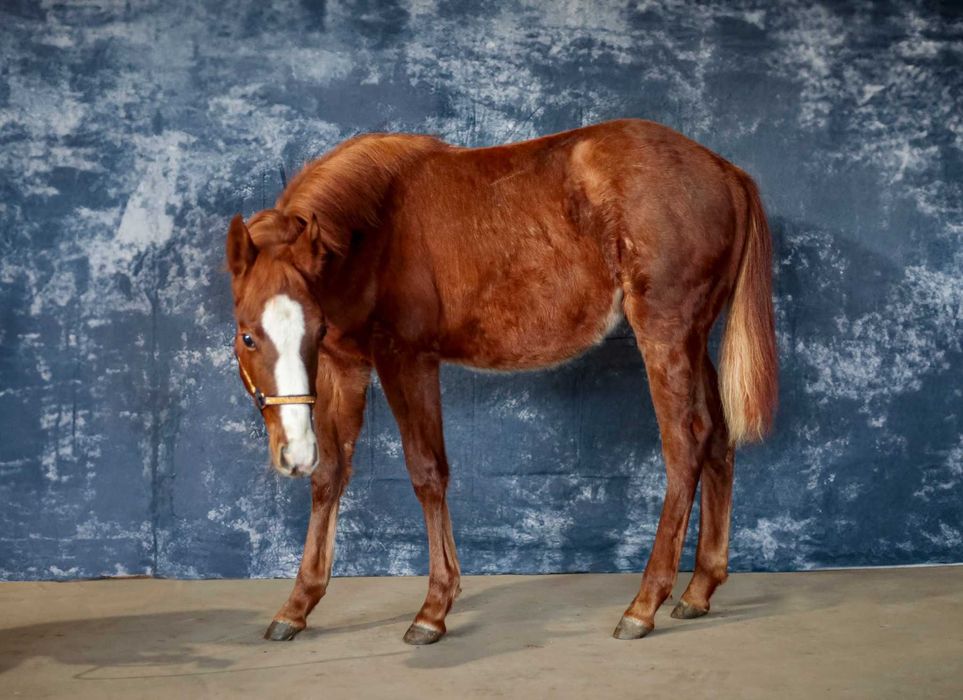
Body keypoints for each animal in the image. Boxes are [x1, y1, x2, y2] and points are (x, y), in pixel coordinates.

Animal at [225, 118, 777, 645]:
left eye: (310, 329)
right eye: (248, 335)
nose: (292, 455)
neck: (375, 230)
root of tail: (727, 172)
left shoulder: (408, 359)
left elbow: (427, 472)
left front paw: (434, 609)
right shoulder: (344, 366)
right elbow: (330, 475)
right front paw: (297, 606)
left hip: (665, 334)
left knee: (685, 444)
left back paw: (644, 605)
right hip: (694, 339)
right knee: (717, 437)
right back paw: (698, 589)